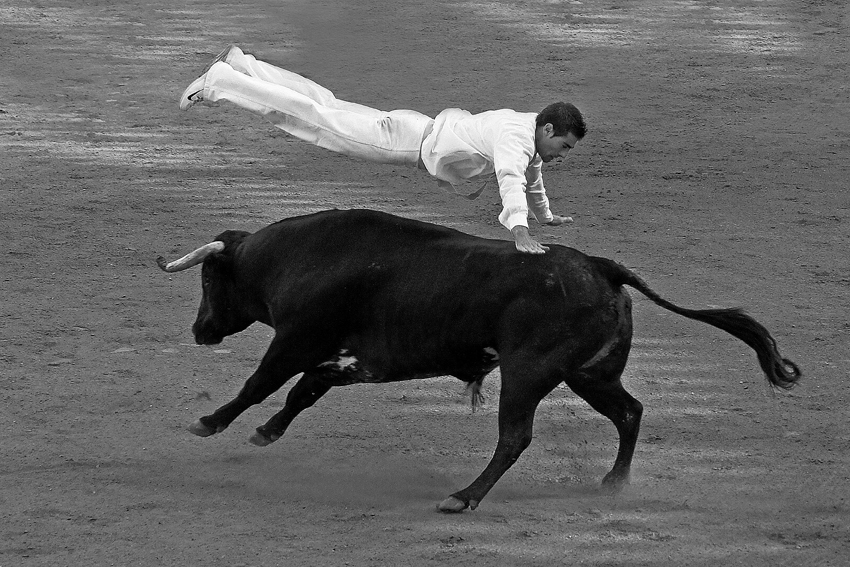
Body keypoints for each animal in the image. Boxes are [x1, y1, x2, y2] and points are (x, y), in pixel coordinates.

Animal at [156, 210, 800, 516]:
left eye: (210, 280)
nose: (199, 330)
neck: (295, 256)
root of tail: (601, 266)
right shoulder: (357, 361)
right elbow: (301, 393)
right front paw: (264, 433)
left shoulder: (296, 340)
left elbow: (261, 383)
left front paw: (209, 422)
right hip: (589, 374)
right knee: (630, 411)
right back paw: (613, 483)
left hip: (528, 374)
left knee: (516, 436)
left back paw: (462, 497)